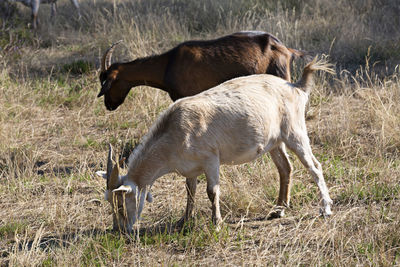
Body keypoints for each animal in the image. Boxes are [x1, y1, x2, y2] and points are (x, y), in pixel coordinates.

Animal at [96, 58, 334, 232]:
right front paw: (184, 220)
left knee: (315, 166)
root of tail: (295, 87)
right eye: (108, 201)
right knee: (285, 168)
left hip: (295, 132)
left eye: (120, 203)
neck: (173, 132)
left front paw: (216, 223)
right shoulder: (190, 168)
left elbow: (212, 191)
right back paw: (278, 210)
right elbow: (190, 191)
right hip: (274, 142)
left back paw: (326, 208)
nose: (119, 229)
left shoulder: (211, 159)